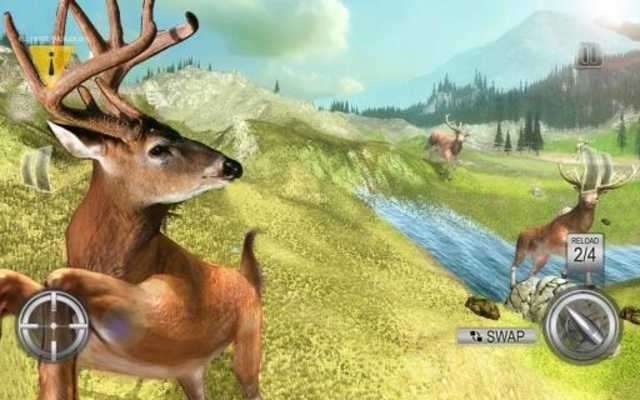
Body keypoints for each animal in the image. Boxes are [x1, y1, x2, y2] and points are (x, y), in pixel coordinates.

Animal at [0, 1, 264, 399]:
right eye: (159, 148)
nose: (232, 165)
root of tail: (247, 279)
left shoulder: (168, 312)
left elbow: (61, 276)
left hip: (248, 347)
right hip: (191, 373)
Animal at [510, 146, 638, 287]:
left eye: (597, 197)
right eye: (581, 194)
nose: (588, 202)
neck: (578, 229)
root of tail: (520, 232)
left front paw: (589, 283)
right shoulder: (557, 237)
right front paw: (564, 272)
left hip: (541, 257)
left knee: (531, 272)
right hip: (521, 249)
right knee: (513, 265)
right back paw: (512, 284)